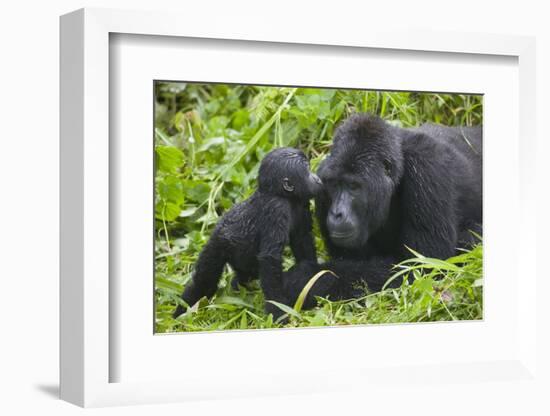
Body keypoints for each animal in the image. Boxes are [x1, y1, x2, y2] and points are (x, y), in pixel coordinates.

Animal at [174, 147, 324, 318]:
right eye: (307, 170)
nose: (317, 178)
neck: (282, 194)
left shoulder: (302, 203)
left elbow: (302, 240)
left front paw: (312, 276)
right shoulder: (276, 209)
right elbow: (270, 258)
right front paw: (278, 310)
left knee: (244, 274)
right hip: (216, 245)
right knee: (204, 281)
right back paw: (182, 311)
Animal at [284, 112, 484, 308]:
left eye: (353, 186)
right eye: (334, 185)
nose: (336, 213)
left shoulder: (428, 167)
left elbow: (422, 266)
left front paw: (303, 279)